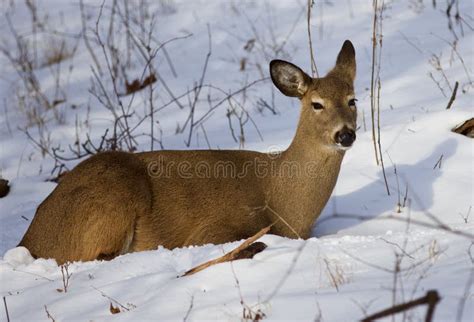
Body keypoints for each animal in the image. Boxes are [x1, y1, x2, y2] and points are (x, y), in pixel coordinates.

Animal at [19, 40, 360, 264]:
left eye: (352, 99)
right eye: (317, 104)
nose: (345, 134)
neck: (283, 202)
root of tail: (31, 239)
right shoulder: (213, 229)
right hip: (112, 199)